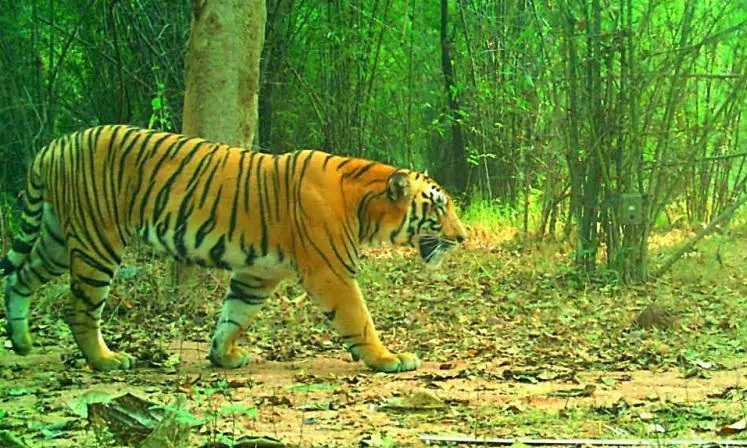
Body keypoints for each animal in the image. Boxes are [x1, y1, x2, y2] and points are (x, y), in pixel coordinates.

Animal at [0, 125, 467, 373]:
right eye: (439, 208)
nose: (462, 238)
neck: (364, 206)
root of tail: (56, 144)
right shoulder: (330, 272)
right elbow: (360, 319)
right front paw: (388, 358)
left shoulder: (258, 273)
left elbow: (234, 315)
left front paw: (222, 356)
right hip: (98, 241)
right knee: (78, 308)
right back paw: (106, 360)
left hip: (57, 239)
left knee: (20, 278)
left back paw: (21, 342)